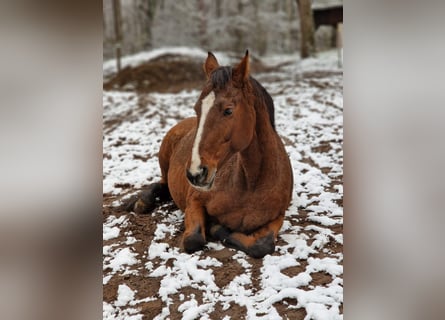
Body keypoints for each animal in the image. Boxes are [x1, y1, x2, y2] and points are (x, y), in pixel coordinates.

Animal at [125, 51, 292, 258]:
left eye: (228, 110)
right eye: (197, 108)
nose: (195, 173)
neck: (251, 184)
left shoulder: (278, 216)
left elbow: (263, 245)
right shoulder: (194, 201)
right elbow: (194, 239)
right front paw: (214, 227)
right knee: (161, 184)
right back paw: (142, 202)